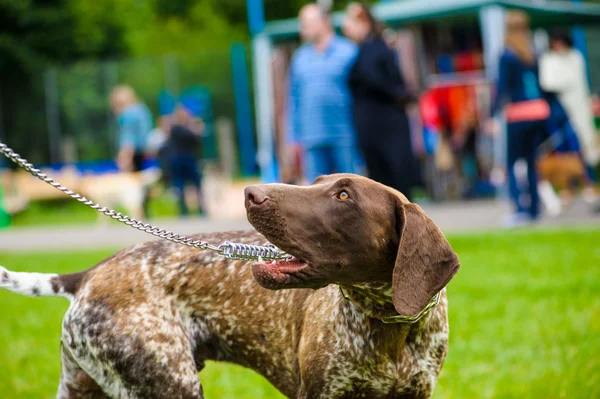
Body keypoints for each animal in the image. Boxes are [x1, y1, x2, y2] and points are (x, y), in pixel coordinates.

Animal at [0, 175, 460, 399]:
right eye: (318, 179)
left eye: (344, 195)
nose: (251, 193)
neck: (388, 325)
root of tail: (88, 274)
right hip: (169, 386)